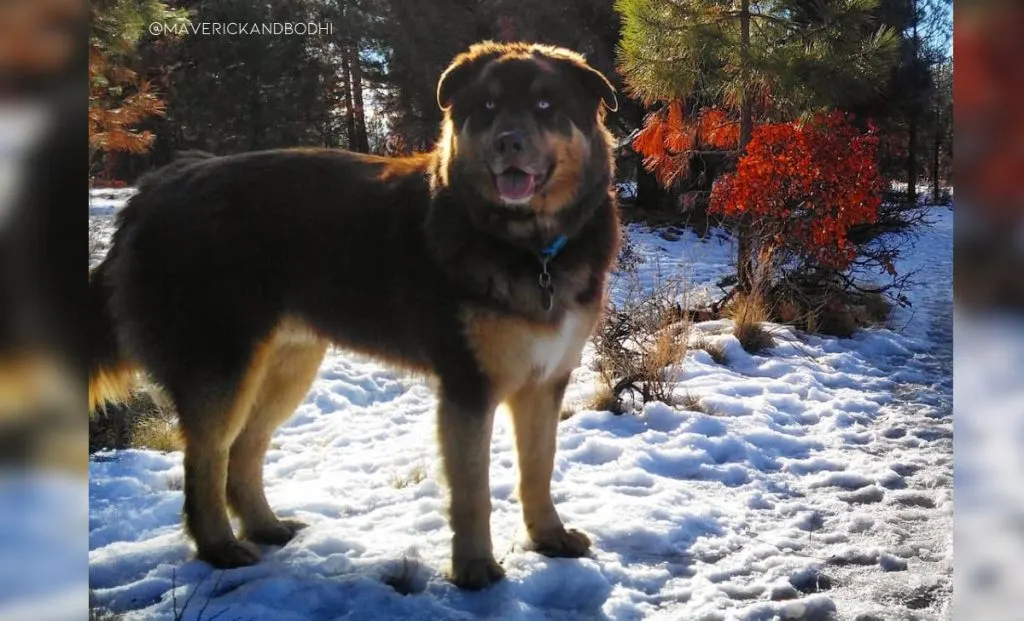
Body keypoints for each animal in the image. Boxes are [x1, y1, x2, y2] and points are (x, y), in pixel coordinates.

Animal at [90, 41, 614, 590]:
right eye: (488, 107)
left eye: (545, 105)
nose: (508, 143)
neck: (532, 250)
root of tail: (156, 186)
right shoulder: (468, 386)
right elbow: (472, 491)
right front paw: (473, 569)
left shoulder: (545, 380)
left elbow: (539, 468)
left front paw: (548, 537)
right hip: (222, 367)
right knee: (205, 461)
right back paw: (219, 547)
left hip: (285, 367)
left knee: (244, 451)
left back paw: (266, 527)